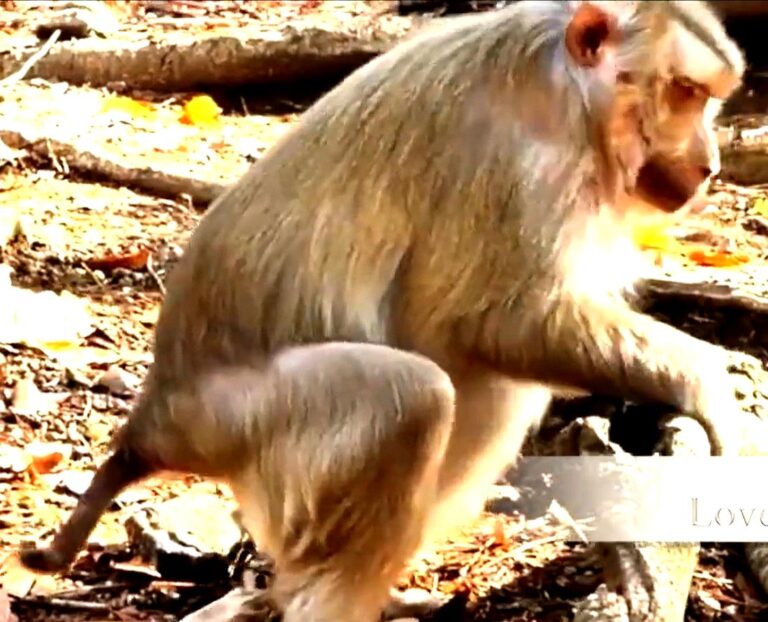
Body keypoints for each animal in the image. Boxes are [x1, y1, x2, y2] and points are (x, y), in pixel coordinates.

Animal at [19, 2, 747, 621]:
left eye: (707, 99)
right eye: (685, 93)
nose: (711, 163)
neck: (570, 93)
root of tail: (156, 413)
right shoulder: (514, 162)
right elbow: (495, 321)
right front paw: (713, 384)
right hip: (232, 417)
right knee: (414, 395)